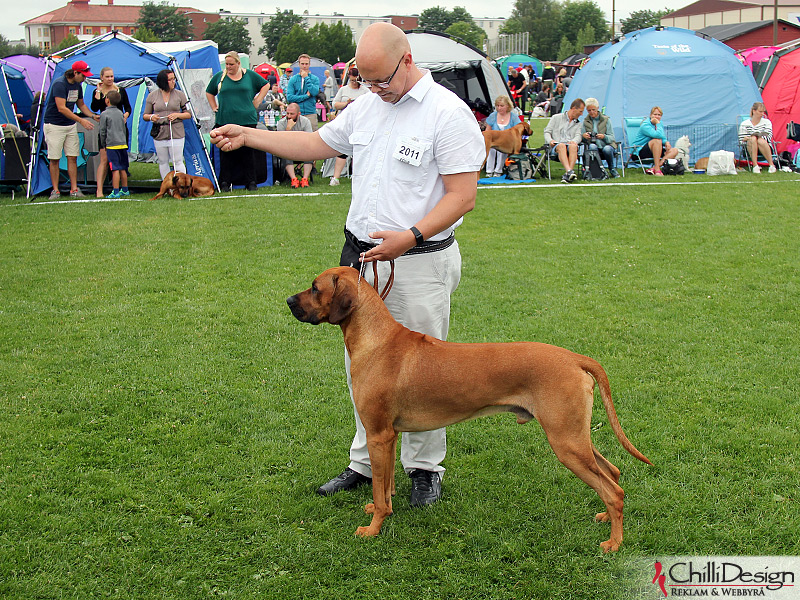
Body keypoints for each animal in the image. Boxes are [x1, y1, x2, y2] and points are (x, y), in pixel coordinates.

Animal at [286, 268, 648, 552]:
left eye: (315, 287)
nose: (288, 301)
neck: (377, 339)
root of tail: (574, 358)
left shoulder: (377, 434)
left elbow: (379, 490)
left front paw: (373, 529)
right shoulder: (387, 436)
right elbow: (384, 485)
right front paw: (380, 511)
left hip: (565, 441)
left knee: (614, 490)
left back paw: (614, 542)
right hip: (575, 436)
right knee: (613, 472)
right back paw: (604, 517)